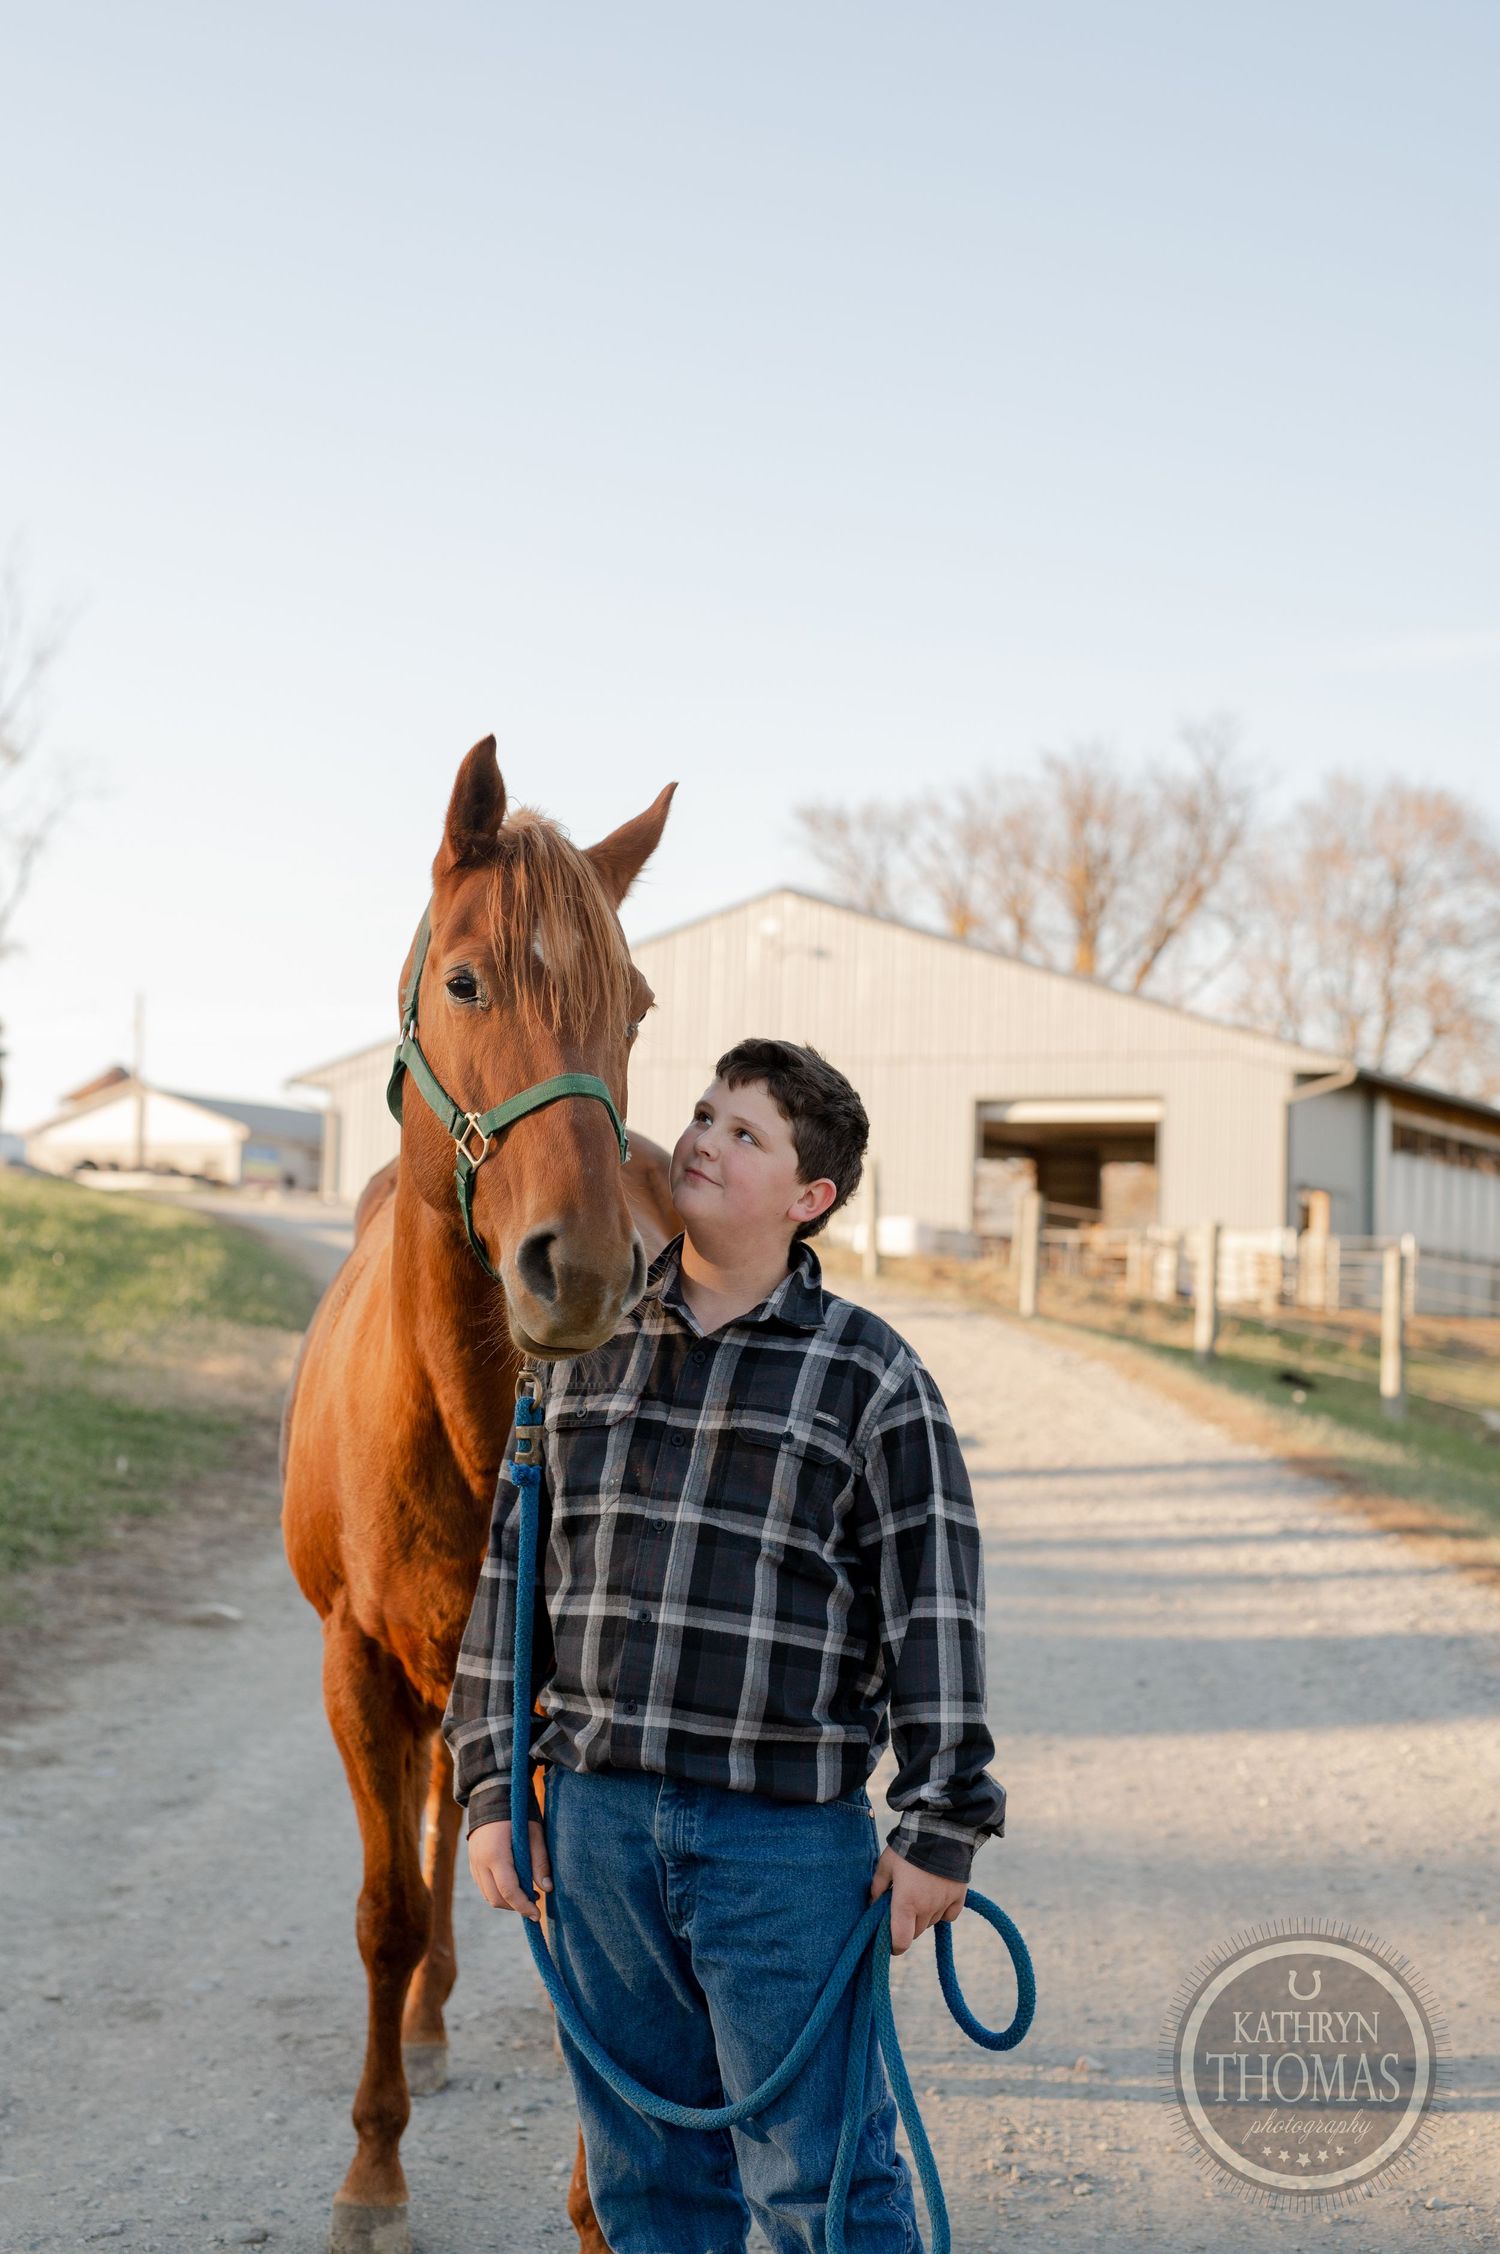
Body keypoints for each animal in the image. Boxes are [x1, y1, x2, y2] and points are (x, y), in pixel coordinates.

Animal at [281, 736, 676, 2254]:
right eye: (465, 981)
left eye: (636, 1005)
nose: (589, 1270)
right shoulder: (354, 1664)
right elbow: (386, 1908)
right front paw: (373, 2171)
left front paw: (604, 2202)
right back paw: (426, 2021)